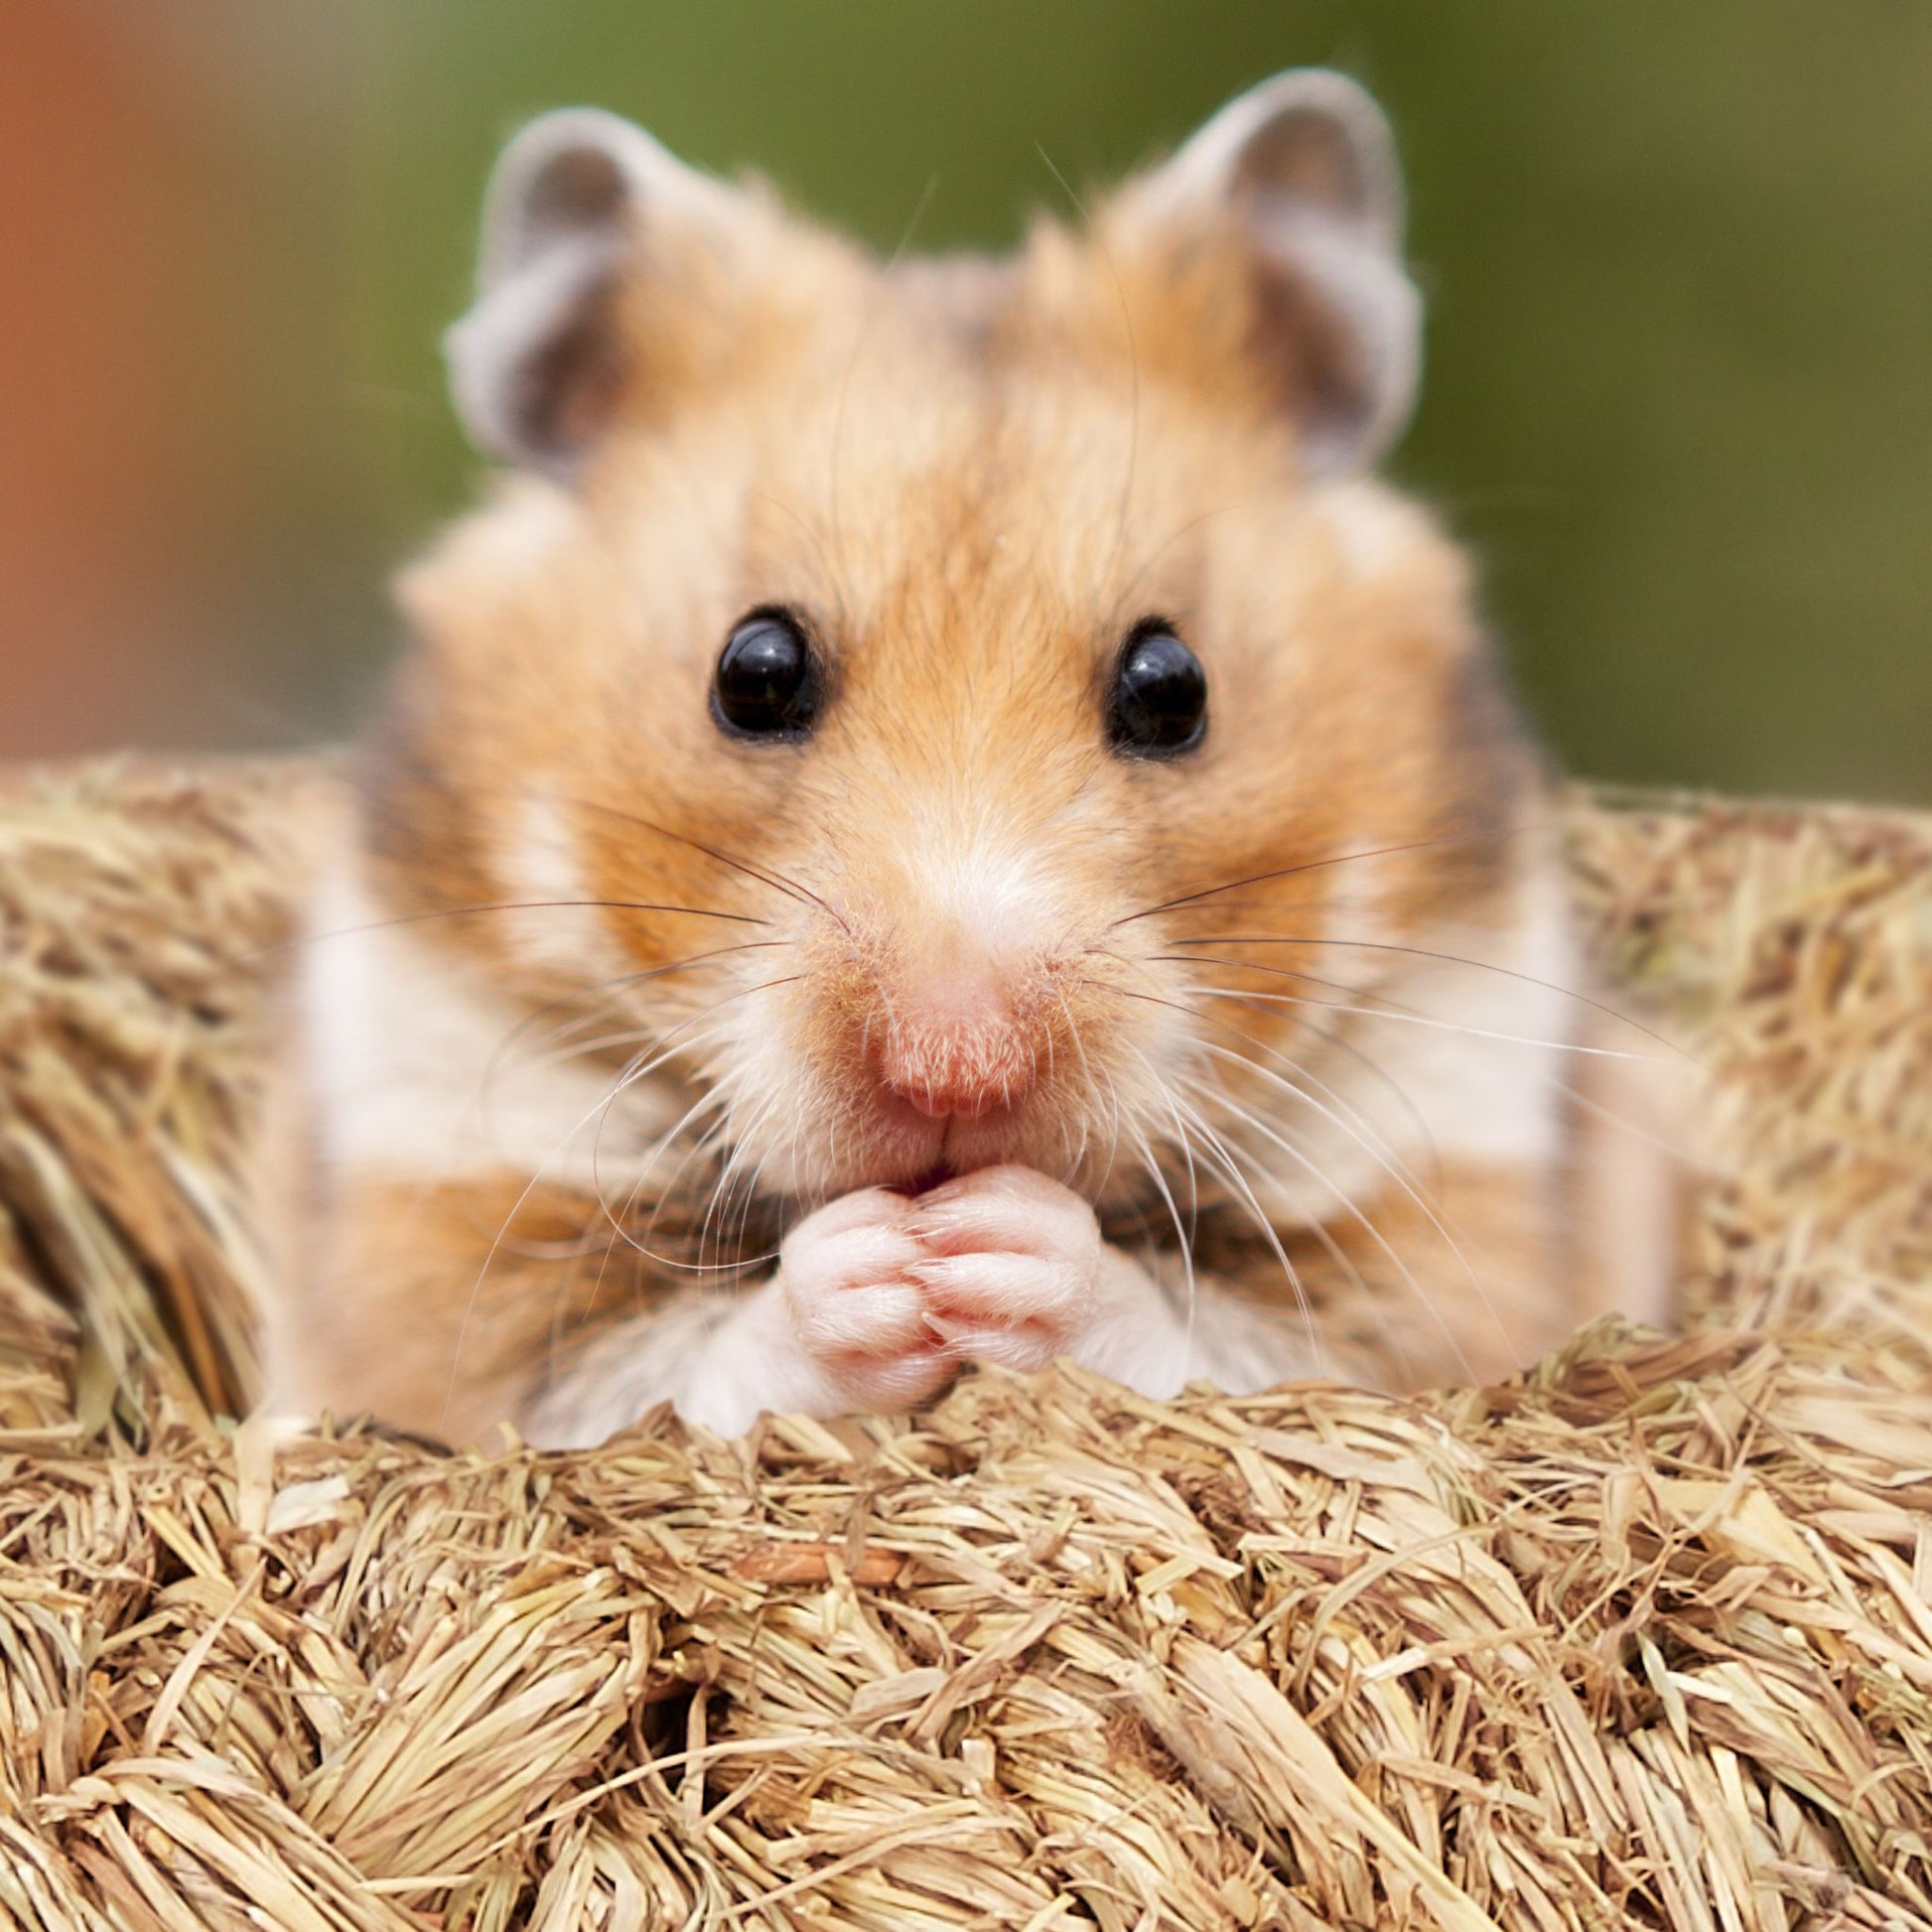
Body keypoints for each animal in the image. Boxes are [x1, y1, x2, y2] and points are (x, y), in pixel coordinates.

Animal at [278, 70, 1677, 1448]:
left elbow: (1240, 1339)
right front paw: (885, 1271)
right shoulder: (443, 1216)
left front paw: (992, 1248)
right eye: (752, 670)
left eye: (1173, 688)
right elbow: (644, 1368)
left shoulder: (1450, 1210)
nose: (955, 1069)